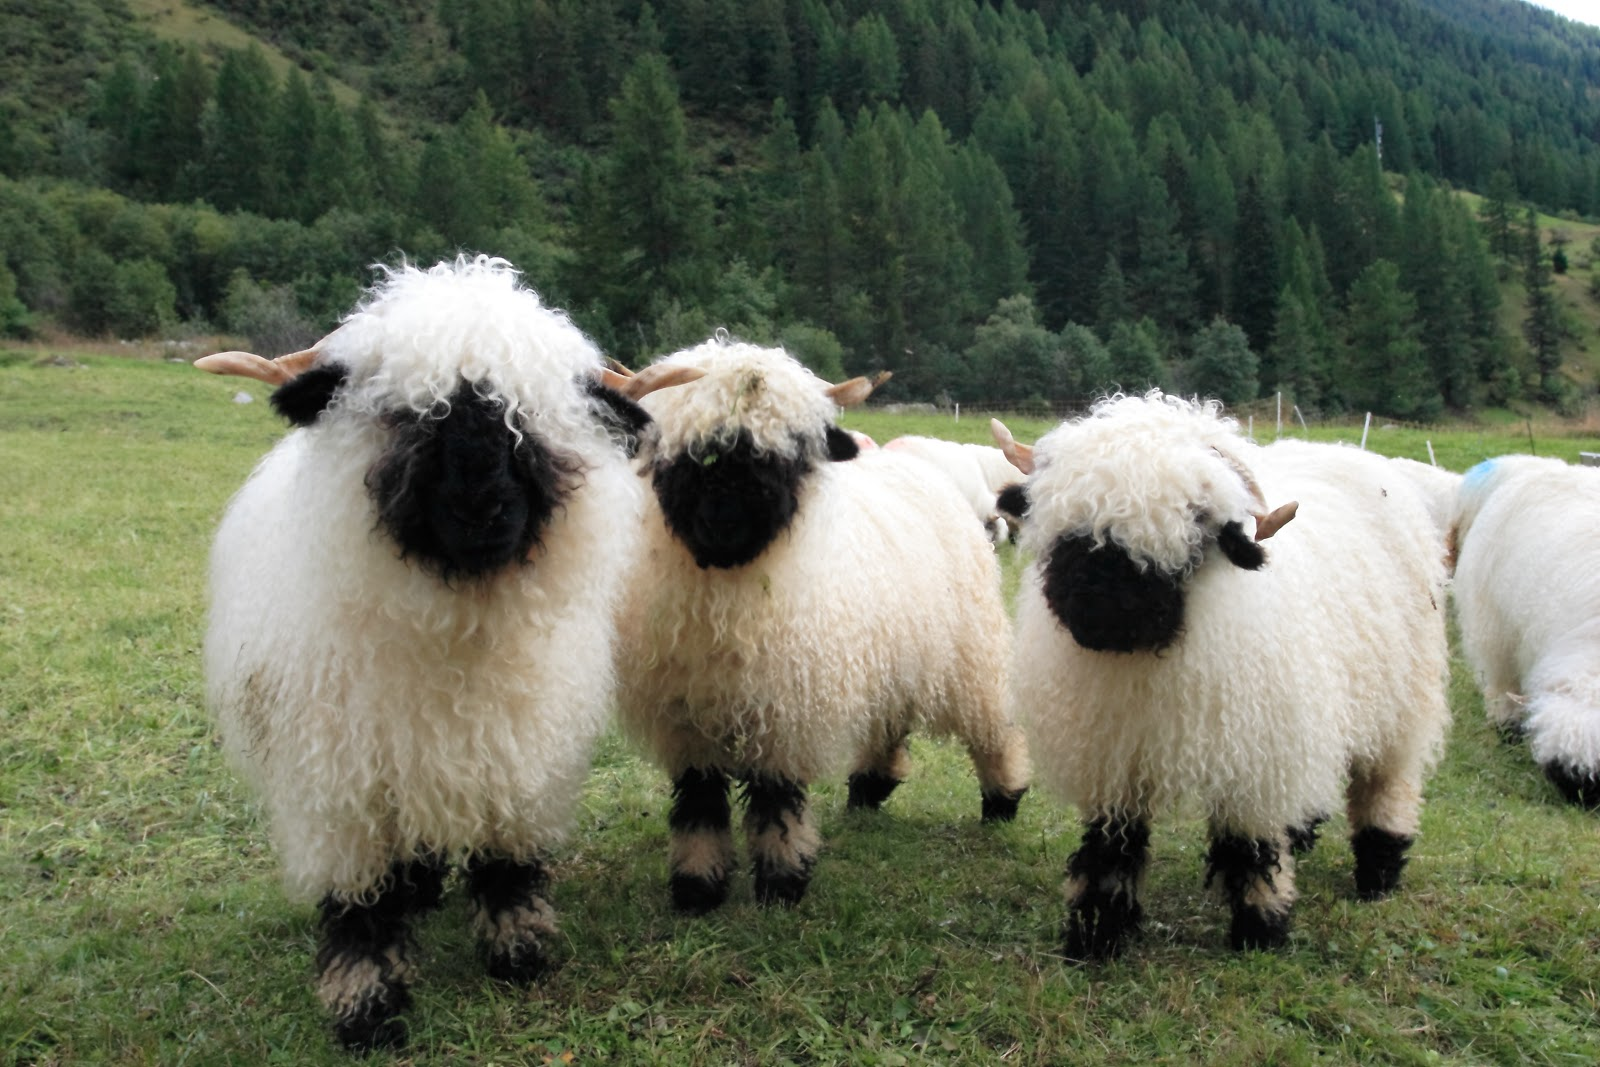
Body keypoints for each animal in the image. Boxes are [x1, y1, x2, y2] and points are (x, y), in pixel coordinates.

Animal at [193, 255, 694, 1049]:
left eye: (530, 419)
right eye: (407, 414)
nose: (480, 508)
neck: (454, 626)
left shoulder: (514, 753)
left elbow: (507, 859)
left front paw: (520, 951)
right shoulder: (342, 784)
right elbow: (358, 901)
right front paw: (366, 1006)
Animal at [604, 337, 1030, 915]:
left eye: (787, 453)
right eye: (697, 452)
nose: (728, 520)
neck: (728, 592)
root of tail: (912, 464)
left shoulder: (786, 707)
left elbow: (777, 799)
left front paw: (782, 883)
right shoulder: (686, 714)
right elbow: (698, 802)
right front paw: (697, 887)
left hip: (970, 648)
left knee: (991, 726)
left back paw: (1003, 799)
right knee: (889, 720)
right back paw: (869, 789)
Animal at [985, 391, 1452, 959]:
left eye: (1196, 524)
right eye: (1070, 523)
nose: (1099, 610)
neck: (1148, 661)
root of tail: (1342, 450)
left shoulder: (1255, 755)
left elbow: (1250, 846)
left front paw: (1261, 929)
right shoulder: (1115, 753)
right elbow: (1111, 846)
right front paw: (1097, 933)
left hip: (1402, 700)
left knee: (1387, 784)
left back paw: (1379, 873)